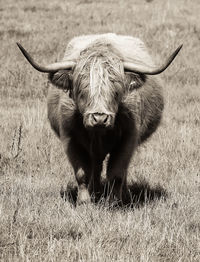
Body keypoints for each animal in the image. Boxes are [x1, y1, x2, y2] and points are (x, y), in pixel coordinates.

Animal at [17, 33, 183, 205]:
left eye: (116, 90)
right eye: (82, 89)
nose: (99, 118)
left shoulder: (129, 138)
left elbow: (117, 172)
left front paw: (114, 201)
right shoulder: (70, 139)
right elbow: (82, 173)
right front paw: (84, 201)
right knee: (95, 167)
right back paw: (95, 192)